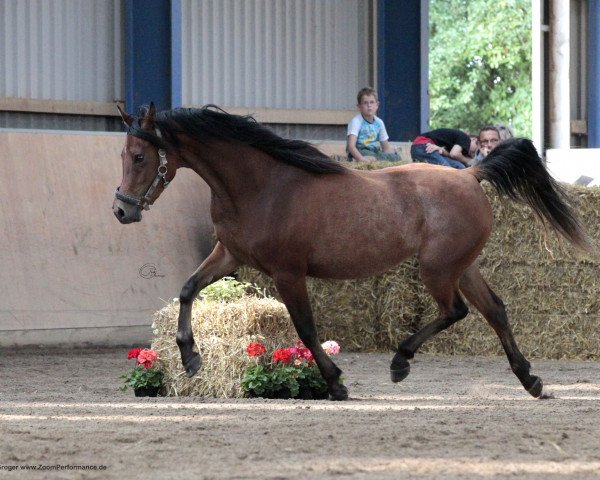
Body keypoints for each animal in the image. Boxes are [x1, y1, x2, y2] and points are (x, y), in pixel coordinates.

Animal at [115, 104, 592, 402]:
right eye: (123, 154)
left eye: (139, 156)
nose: (122, 209)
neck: (262, 186)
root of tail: (470, 174)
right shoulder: (230, 255)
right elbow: (187, 289)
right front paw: (191, 358)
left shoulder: (288, 272)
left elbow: (307, 330)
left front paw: (336, 384)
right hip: (463, 265)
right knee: (495, 310)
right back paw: (530, 380)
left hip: (438, 269)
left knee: (456, 311)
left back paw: (401, 362)